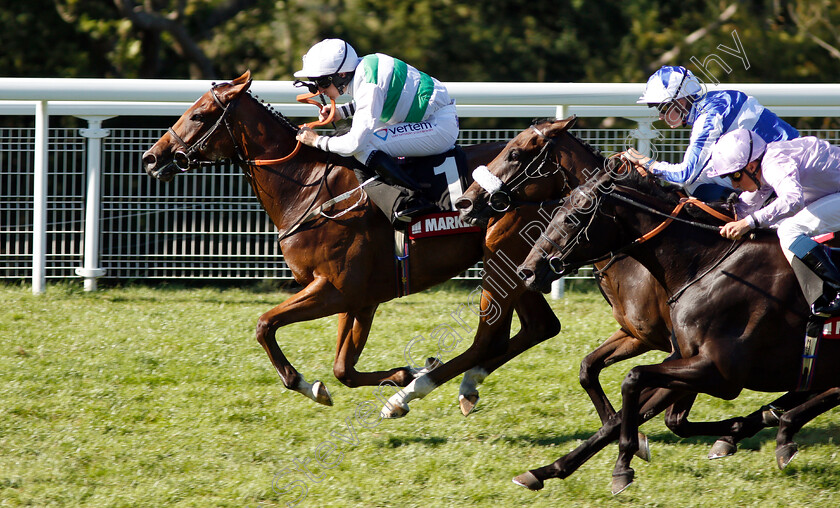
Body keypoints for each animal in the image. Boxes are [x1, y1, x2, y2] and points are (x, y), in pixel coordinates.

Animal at [142, 71, 560, 410]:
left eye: (199, 115)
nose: (151, 157)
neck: (307, 188)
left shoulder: (337, 289)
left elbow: (265, 324)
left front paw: (307, 385)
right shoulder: (359, 298)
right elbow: (343, 368)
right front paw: (401, 373)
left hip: (501, 260)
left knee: (494, 336)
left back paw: (418, 392)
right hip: (515, 267)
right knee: (540, 327)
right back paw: (458, 384)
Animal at [516, 170, 840, 492]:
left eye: (573, 218)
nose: (527, 271)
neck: (705, 266)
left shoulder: (718, 373)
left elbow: (634, 383)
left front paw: (624, 463)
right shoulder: (661, 347)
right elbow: (609, 393)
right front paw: (547, 470)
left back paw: (777, 428)